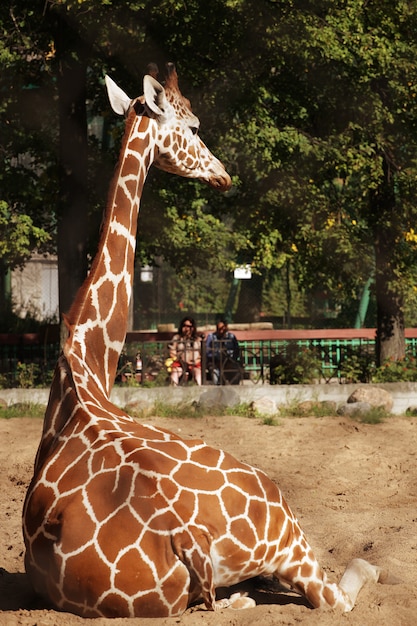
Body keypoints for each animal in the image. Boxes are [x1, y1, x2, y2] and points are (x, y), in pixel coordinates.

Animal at [22, 63, 380, 616]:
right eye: (192, 128)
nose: (223, 173)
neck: (83, 366)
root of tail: (184, 537)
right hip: (284, 528)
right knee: (335, 592)